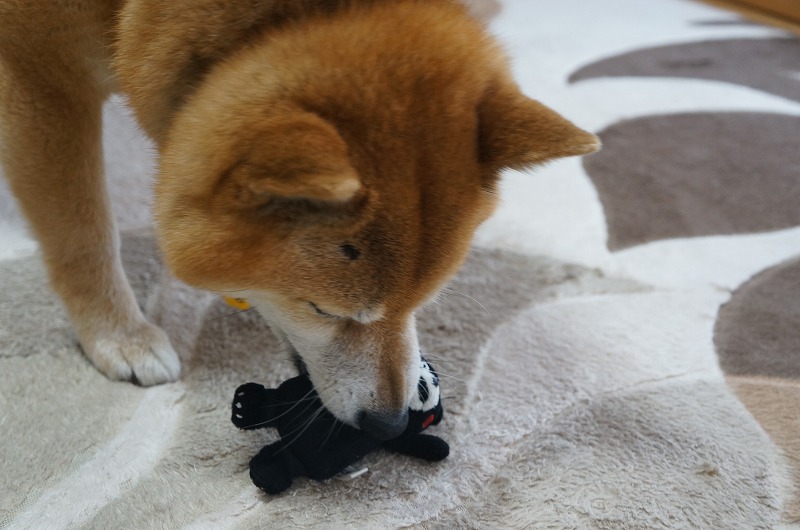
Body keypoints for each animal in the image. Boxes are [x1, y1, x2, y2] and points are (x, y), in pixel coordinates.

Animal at [0, 0, 598, 439]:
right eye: (323, 310)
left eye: (421, 303)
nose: (389, 425)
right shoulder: (37, 71)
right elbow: (82, 231)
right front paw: (118, 335)